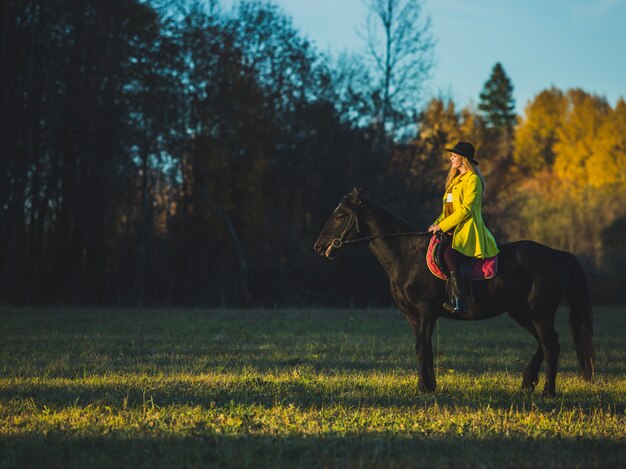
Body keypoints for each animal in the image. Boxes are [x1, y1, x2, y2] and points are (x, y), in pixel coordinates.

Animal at [312, 188, 596, 394]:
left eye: (340, 216)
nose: (319, 246)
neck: (407, 255)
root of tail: (556, 254)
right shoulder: (413, 316)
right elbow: (425, 349)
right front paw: (429, 387)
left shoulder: (426, 311)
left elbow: (421, 348)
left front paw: (423, 388)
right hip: (523, 312)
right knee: (546, 343)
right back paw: (528, 382)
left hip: (540, 312)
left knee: (551, 346)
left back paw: (548, 391)